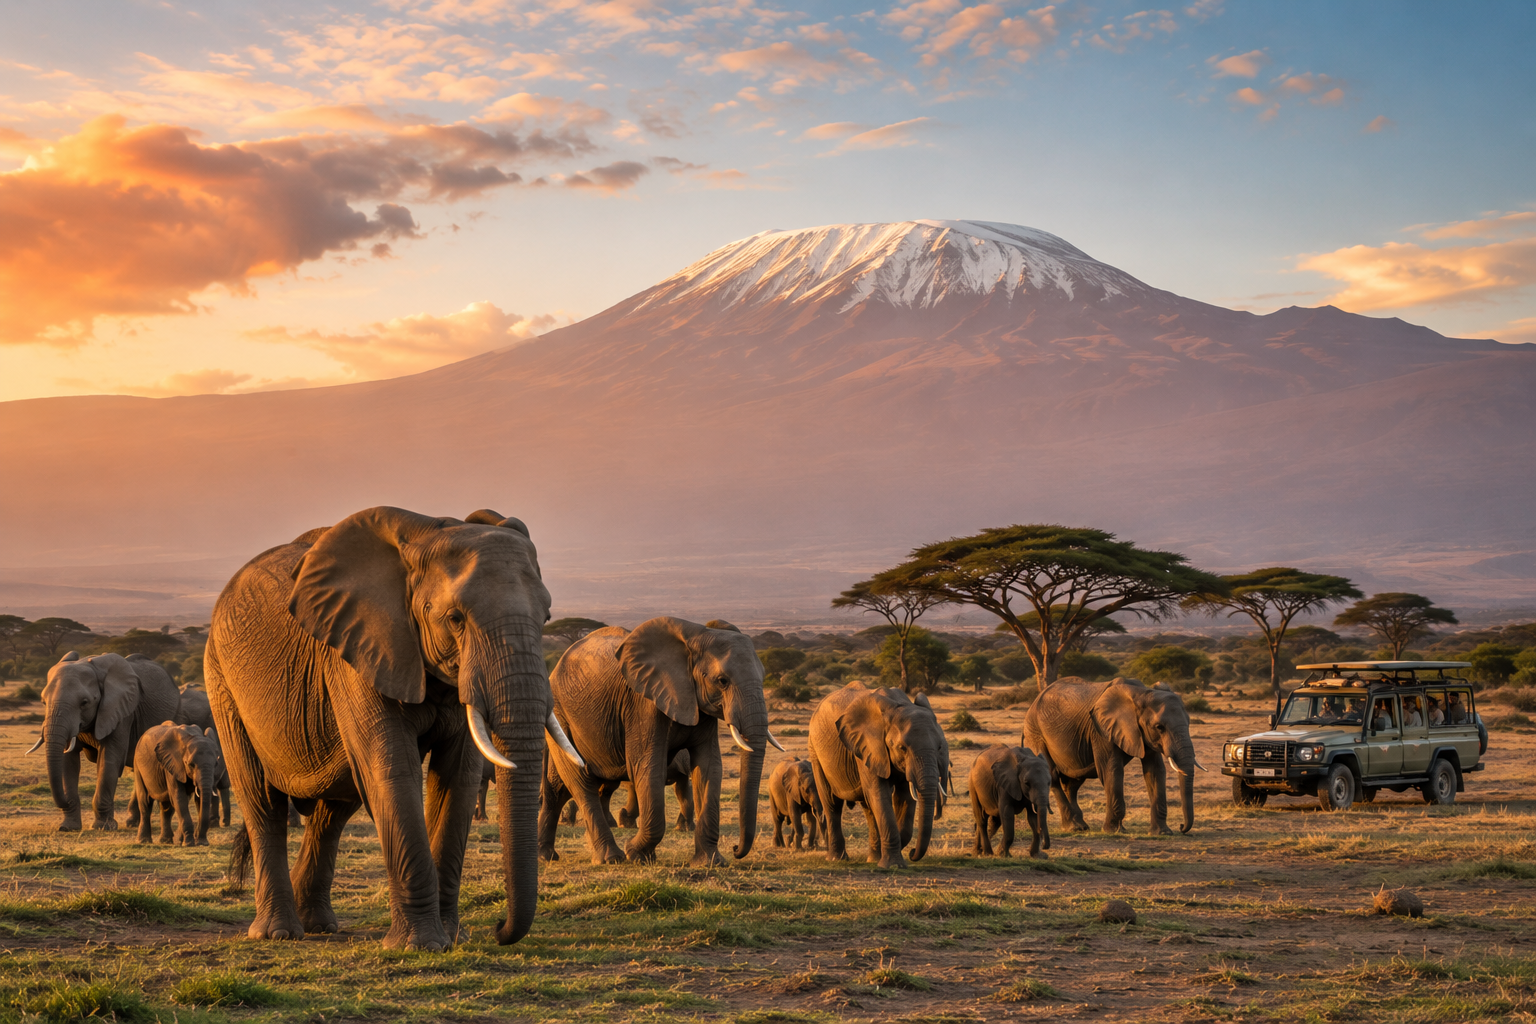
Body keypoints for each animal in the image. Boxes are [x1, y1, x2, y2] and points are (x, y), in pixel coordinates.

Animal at [32, 651, 181, 831]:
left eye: (84, 703)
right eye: (43, 702)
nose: (65, 802)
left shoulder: (121, 713)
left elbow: (109, 759)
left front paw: (103, 827)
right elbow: (68, 761)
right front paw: (68, 827)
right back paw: (132, 823)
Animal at [205, 506, 583, 950]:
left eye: (547, 618)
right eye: (455, 618)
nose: (497, 928)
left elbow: (458, 777)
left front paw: (452, 939)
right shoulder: (359, 652)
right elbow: (393, 771)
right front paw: (420, 946)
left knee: (334, 807)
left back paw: (318, 924)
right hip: (221, 680)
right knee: (262, 801)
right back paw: (278, 933)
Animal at [539, 617, 779, 867]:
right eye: (722, 681)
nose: (735, 849)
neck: (696, 637)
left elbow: (709, 767)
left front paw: (710, 862)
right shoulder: (642, 703)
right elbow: (648, 766)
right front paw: (636, 854)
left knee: (558, 790)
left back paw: (547, 855)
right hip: (561, 715)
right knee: (579, 783)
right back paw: (610, 858)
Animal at [808, 682, 951, 869]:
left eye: (939, 747)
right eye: (902, 748)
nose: (912, 852)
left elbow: (904, 797)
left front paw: (892, 855)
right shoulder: (869, 747)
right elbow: (880, 794)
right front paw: (893, 866)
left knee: (868, 808)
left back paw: (873, 858)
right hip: (815, 751)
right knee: (832, 804)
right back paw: (836, 859)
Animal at [1022, 677, 1202, 835]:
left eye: (1189, 722)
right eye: (1159, 727)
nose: (1182, 827)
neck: (1141, 693)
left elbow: (1155, 771)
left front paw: (1162, 833)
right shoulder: (1100, 730)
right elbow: (1112, 769)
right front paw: (1114, 831)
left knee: (1072, 784)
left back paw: (1080, 826)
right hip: (1035, 733)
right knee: (1052, 776)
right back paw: (1074, 828)